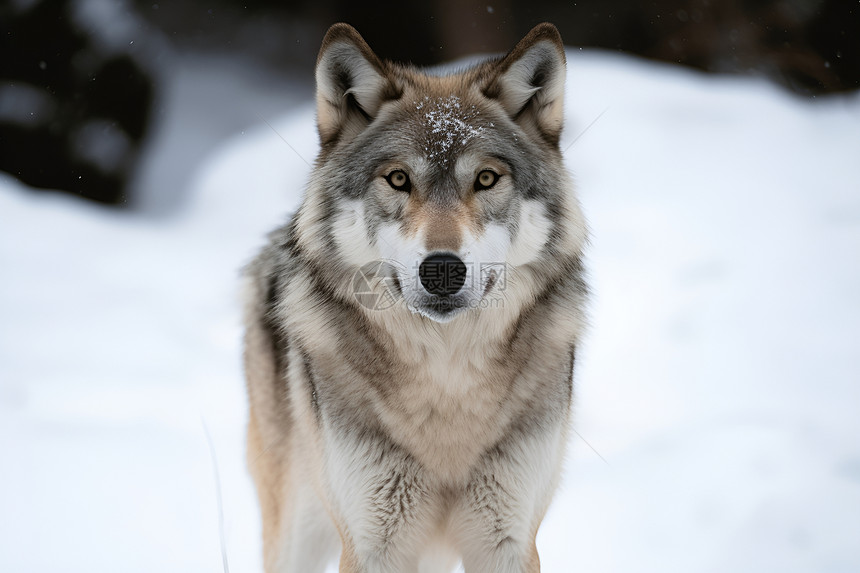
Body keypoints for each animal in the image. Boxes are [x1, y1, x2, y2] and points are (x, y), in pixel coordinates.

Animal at [245, 22, 588, 572]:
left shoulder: (508, 540)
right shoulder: (371, 544)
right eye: (399, 179)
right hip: (299, 529)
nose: (443, 269)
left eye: (486, 178)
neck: (445, 382)